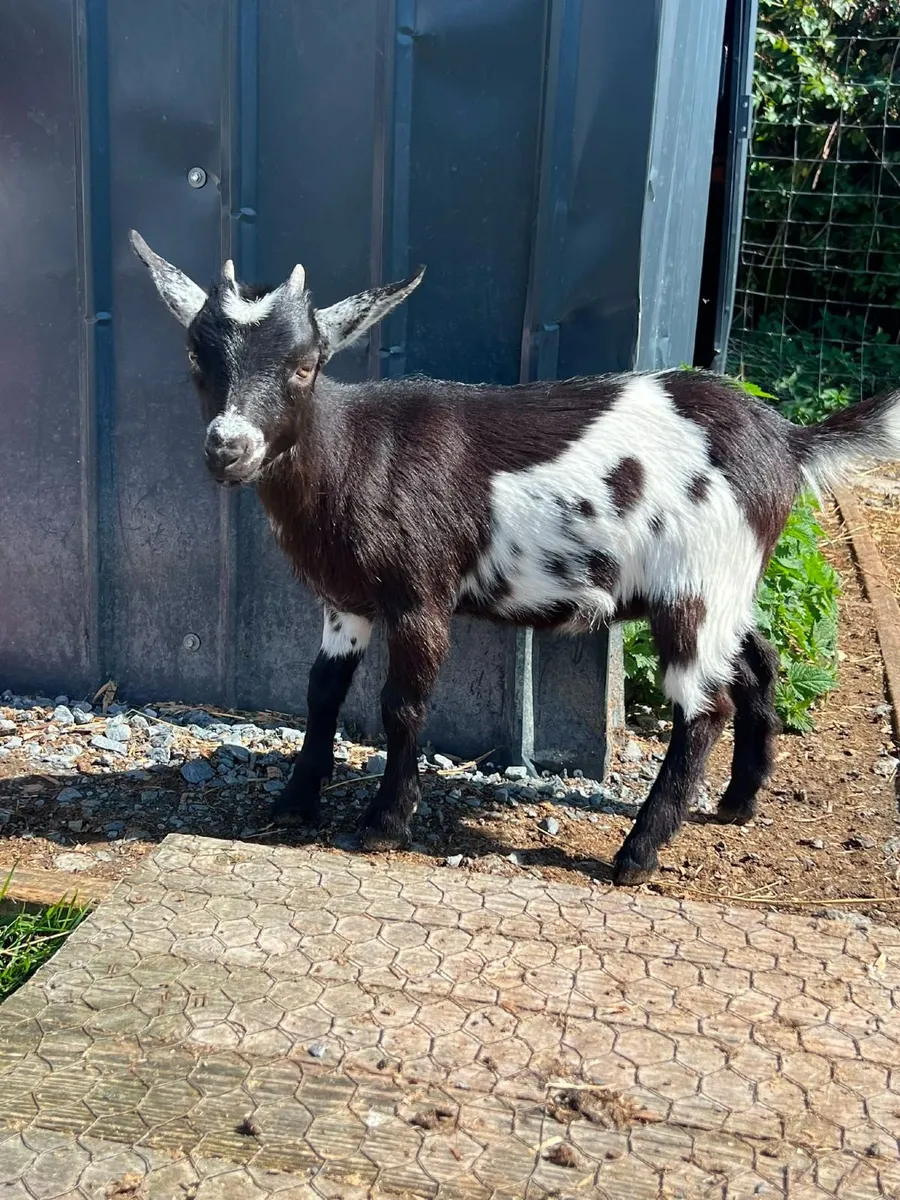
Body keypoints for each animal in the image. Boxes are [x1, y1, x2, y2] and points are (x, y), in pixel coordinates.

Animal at [130, 229, 900, 885]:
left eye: (304, 365)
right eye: (198, 358)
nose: (228, 449)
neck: (356, 453)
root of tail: (789, 443)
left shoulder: (421, 591)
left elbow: (402, 705)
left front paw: (385, 822)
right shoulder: (346, 601)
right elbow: (321, 693)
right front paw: (294, 802)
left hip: (697, 583)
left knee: (703, 706)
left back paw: (637, 855)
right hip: (727, 586)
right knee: (758, 661)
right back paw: (739, 801)